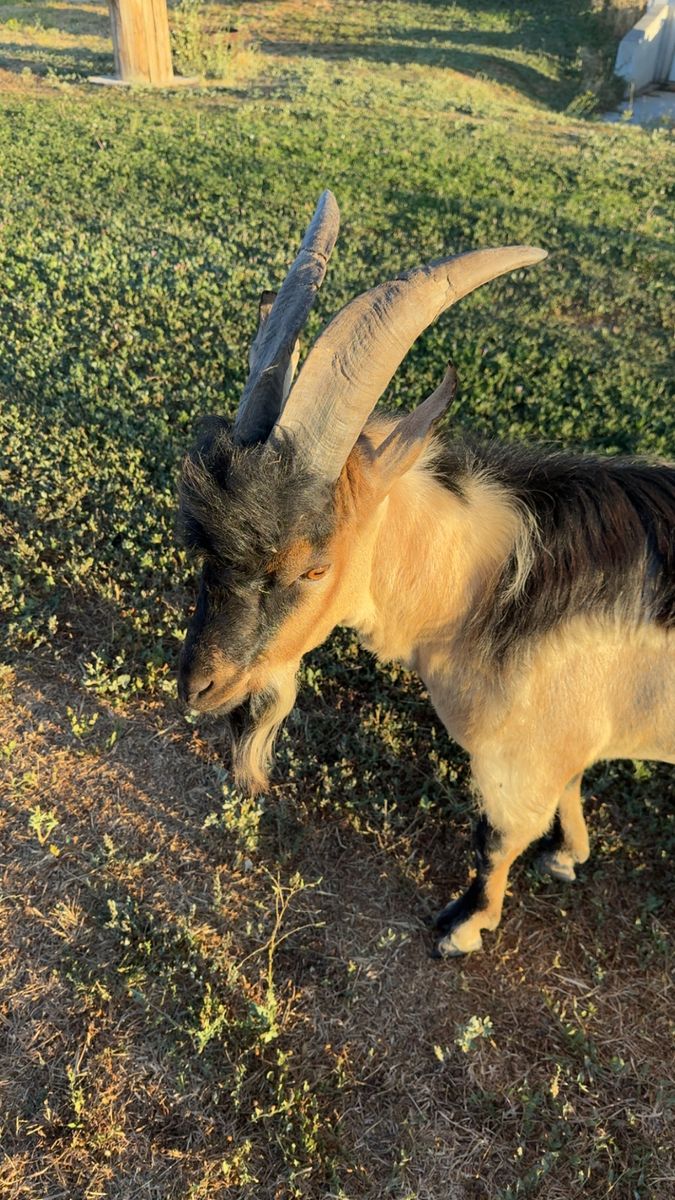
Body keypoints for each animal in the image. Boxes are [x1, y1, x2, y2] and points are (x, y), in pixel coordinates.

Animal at [177, 191, 675, 957]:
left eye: (314, 567)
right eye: (203, 542)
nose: (200, 687)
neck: (486, 586)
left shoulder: (516, 761)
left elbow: (495, 838)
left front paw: (464, 926)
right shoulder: (560, 744)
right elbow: (566, 793)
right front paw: (568, 854)